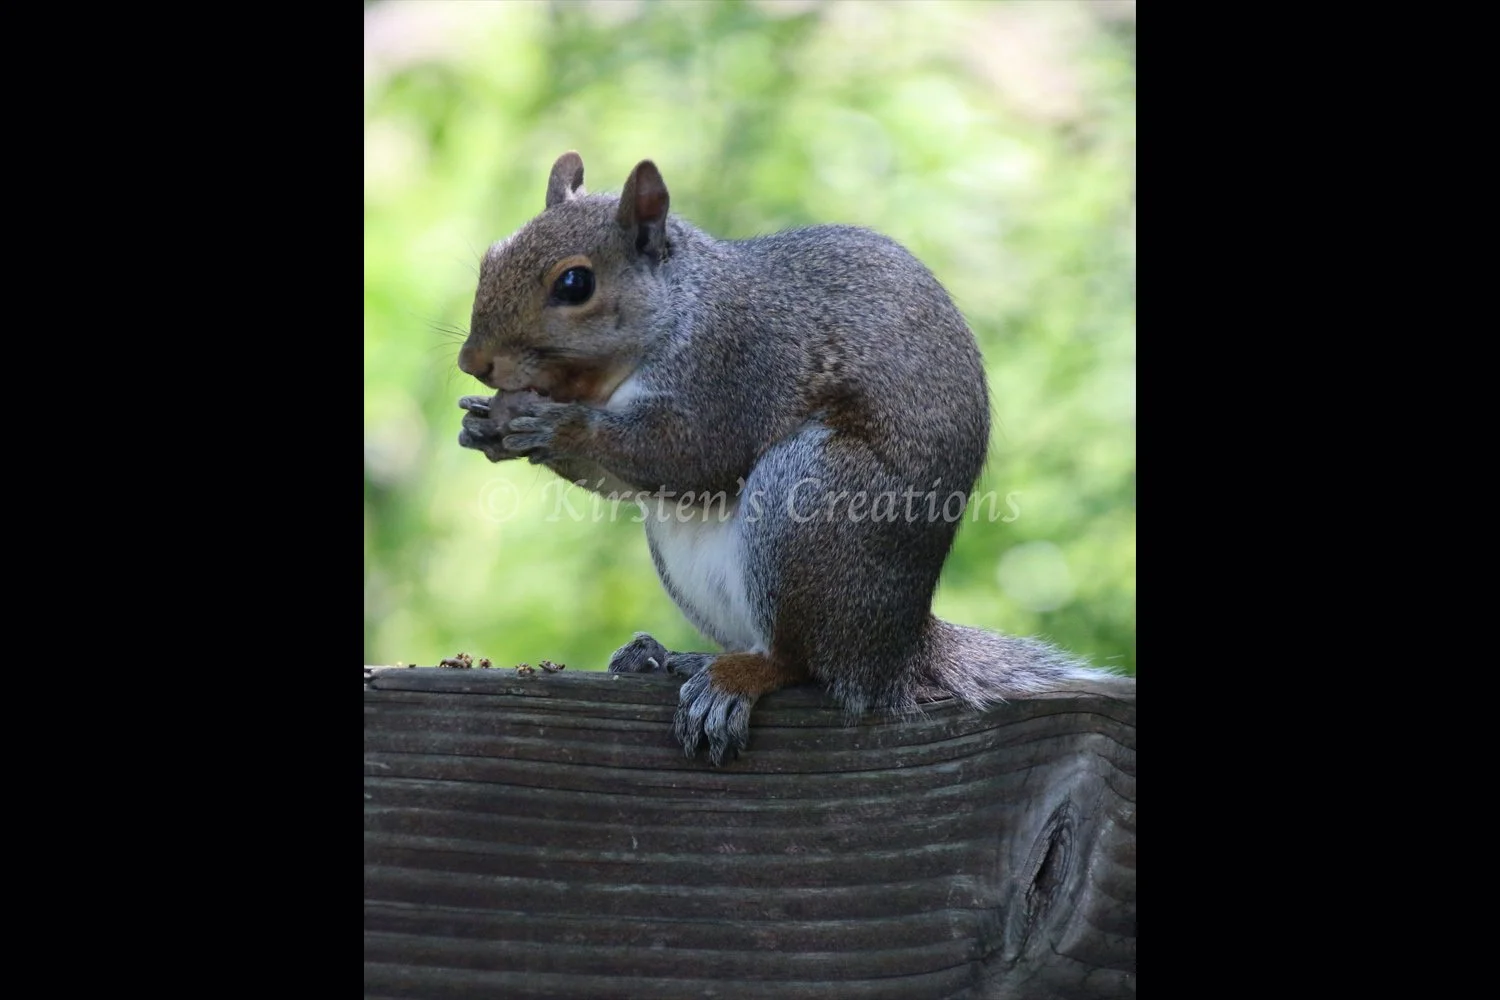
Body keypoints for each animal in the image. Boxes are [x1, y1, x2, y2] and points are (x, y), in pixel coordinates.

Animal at [457, 152, 1115, 765]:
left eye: (574, 285)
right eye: (490, 258)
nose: (472, 362)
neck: (678, 309)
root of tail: (896, 650)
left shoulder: (737, 366)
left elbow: (690, 456)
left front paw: (553, 425)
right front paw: (484, 424)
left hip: (813, 505)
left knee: (802, 663)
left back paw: (737, 677)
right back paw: (673, 656)